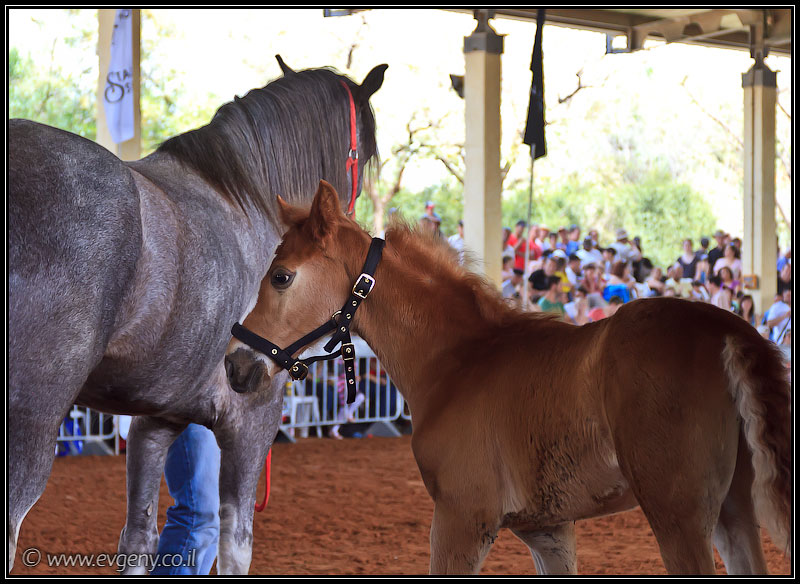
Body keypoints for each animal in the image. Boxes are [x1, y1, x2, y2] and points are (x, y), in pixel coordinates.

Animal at [8, 59, 386, 574]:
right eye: (363, 155)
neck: (249, 200)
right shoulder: (254, 417)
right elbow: (235, 544)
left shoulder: (154, 420)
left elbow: (140, 538)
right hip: (33, 415)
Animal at [227, 180, 791, 575]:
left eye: (281, 277)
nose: (235, 365)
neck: (457, 359)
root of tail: (727, 331)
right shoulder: (549, 530)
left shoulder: (461, 519)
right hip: (732, 513)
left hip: (679, 516)